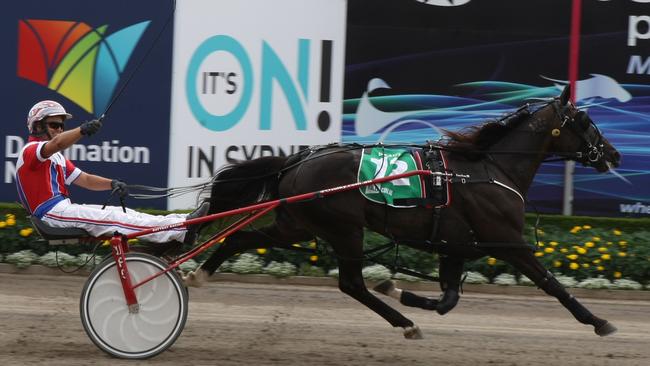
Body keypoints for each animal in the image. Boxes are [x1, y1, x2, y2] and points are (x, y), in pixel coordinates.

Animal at [184, 86, 616, 338]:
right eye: (585, 120)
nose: (613, 154)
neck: (487, 170)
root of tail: (298, 160)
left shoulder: (454, 246)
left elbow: (448, 298)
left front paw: (399, 289)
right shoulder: (506, 240)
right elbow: (551, 283)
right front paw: (598, 322)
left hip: (299, 224)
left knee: (241, 236)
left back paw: (199, 274)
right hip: (344, 228)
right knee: (351, 283)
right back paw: (405, 323)